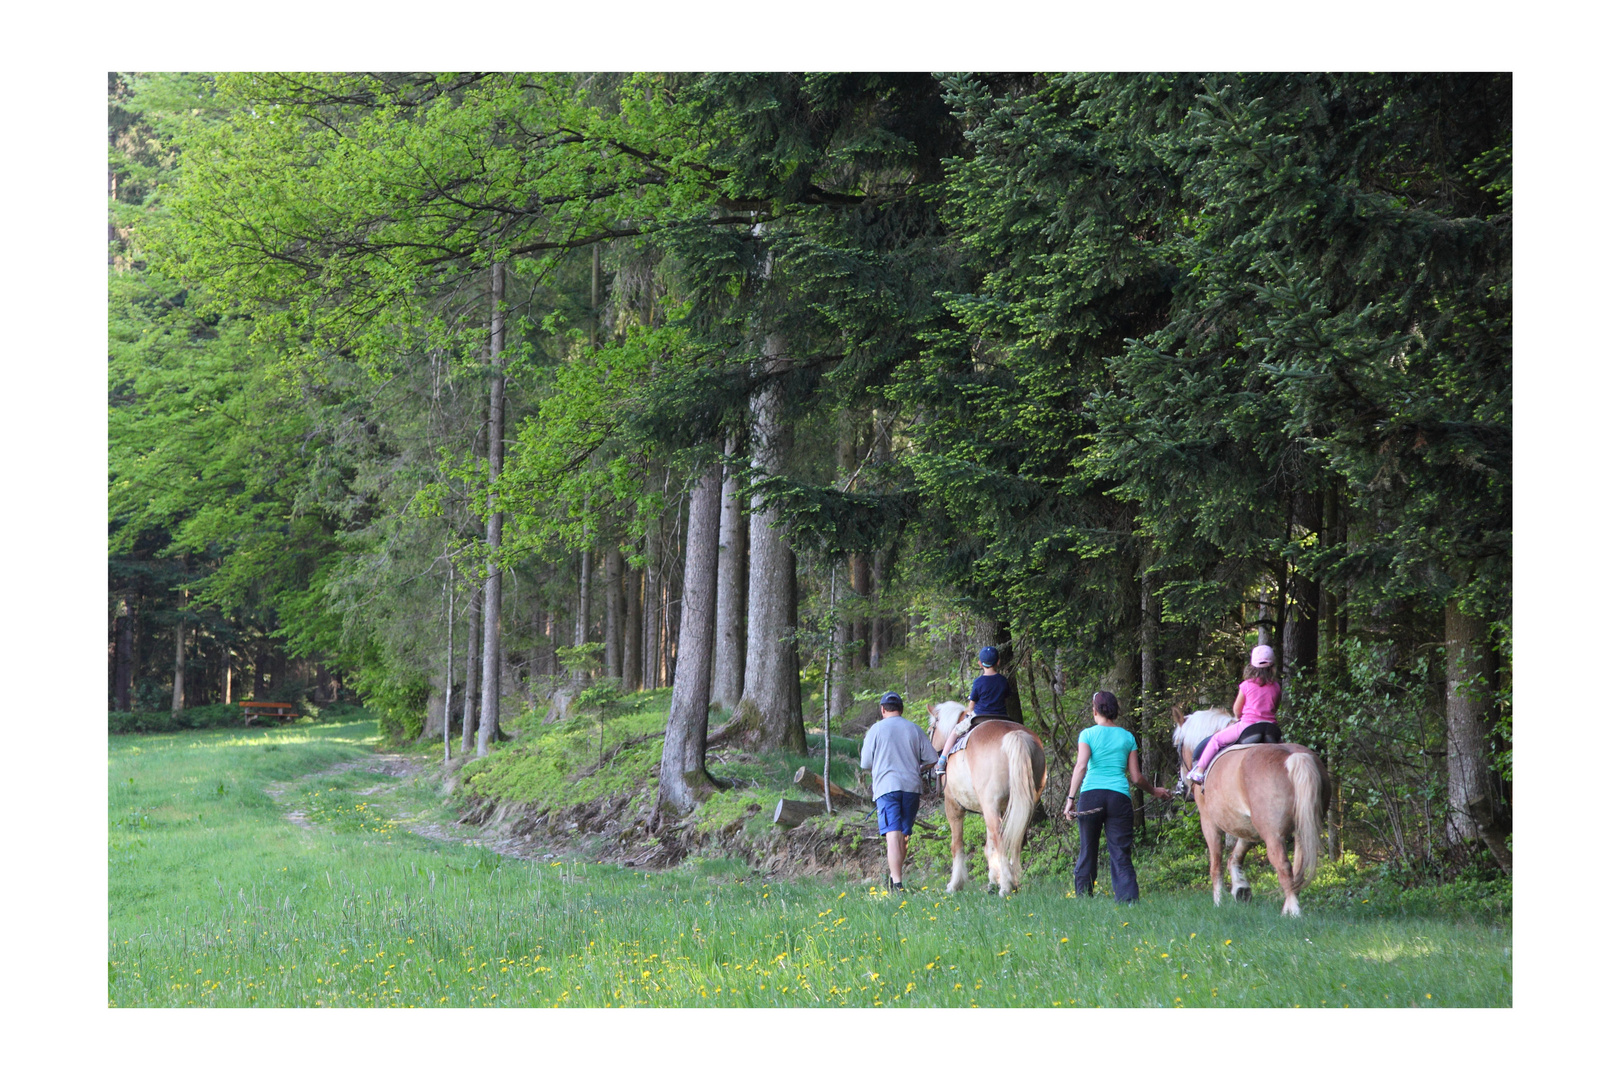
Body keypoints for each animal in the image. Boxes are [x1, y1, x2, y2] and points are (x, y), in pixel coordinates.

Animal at [933, 702, 1043, 893]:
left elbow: (957, 845)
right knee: (1016, 838)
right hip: (1025, 804)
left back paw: (1006, 886)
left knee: (1002, 839)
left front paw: (955, 884)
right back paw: (1013, 880)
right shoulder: (993, 809)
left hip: (990, 805)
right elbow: (989, 846)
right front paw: (993, 879)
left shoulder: (953, 806)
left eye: (931, 728)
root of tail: (1015, 735)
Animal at [1179, 709, 1328, 919]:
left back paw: (1294, 911)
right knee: (1298, 868)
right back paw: (1287, 909)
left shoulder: (1209, 822)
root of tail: (1295, 757)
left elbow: (1216, 863)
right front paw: (1240, 887)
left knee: (1283, 866)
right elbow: (1236, 855)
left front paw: (1218, 902)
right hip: (1301, 829)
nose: (1181, 786)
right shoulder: (1248, 826)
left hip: (1273, 835)